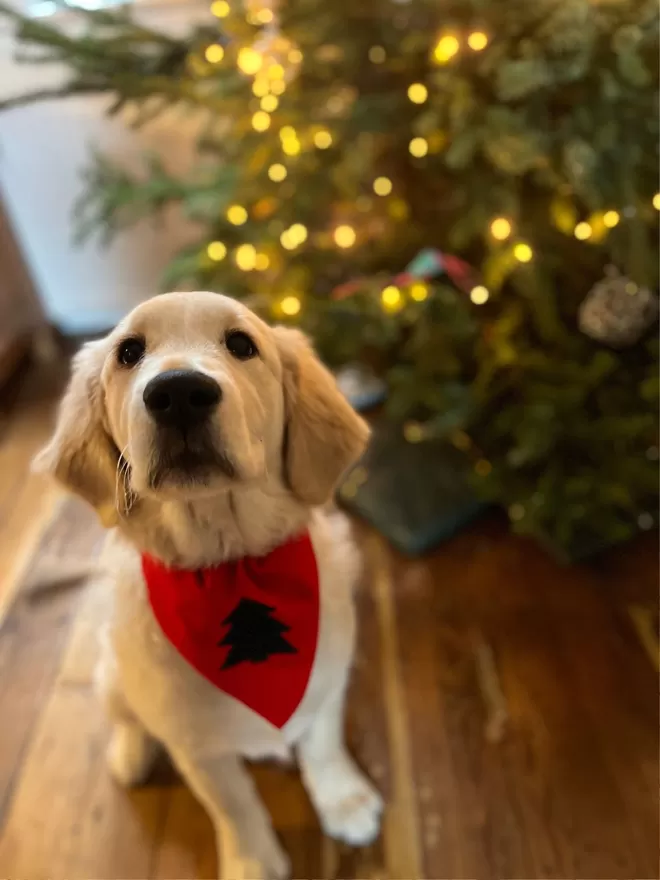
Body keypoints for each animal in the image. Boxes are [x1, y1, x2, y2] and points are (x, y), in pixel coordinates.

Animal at [37, 294, 382, 880]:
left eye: (241, 345)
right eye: (129, 352)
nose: (178, 392)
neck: (227, 565)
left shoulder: (328, 679)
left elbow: (324, 746)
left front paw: (344, 801)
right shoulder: (194, 742)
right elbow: (234, 802)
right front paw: (252, 860)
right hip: (112, 675)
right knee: (126, 718)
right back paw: (130, 756)